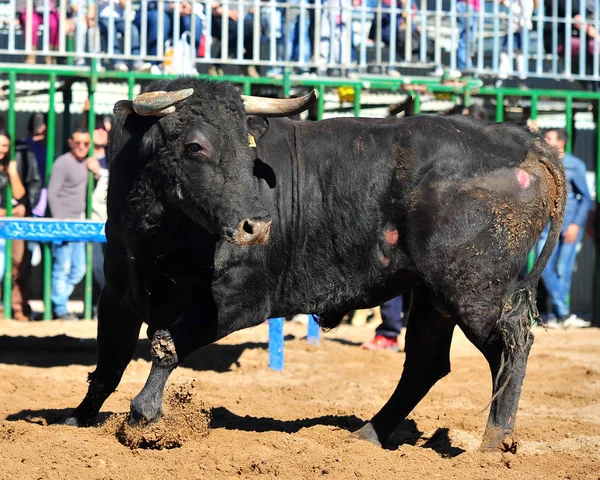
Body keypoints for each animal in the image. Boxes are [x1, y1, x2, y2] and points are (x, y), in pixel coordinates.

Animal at [67, 78, 568, 450]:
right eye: (195, 146)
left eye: (249, 151)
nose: (256, 226)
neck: (162, 231)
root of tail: (519, 139)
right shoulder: (118, 294)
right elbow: (109, 361)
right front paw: (78, 420)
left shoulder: (241, 296)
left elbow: (168, 344)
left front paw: (142, 415)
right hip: (433, 294)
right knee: (426, 363)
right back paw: (367, 434)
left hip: (474, 290)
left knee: (510, 345)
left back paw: (493, 442)